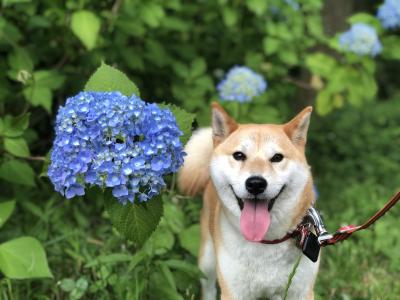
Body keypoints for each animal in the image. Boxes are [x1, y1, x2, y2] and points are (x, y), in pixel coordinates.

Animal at [178, 102, 318, 298]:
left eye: (277, 157)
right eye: (239, 155)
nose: (256, 183)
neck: (265, 241)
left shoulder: (300, 291)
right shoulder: (234, 291)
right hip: (207, 261)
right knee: (208, 287)